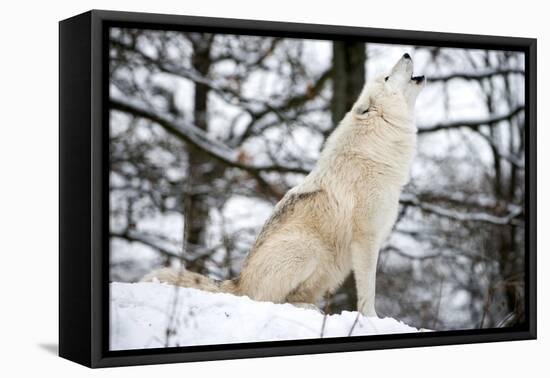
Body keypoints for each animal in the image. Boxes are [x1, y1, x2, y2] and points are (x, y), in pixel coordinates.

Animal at [143, 53, 426, 316]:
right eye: (387, 77)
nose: (406, 54)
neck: (376, 150)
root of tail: (238, 282)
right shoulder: (366, 239)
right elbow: (368, 289)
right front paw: (371, 319)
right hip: (308, 248)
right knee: (266, 300)